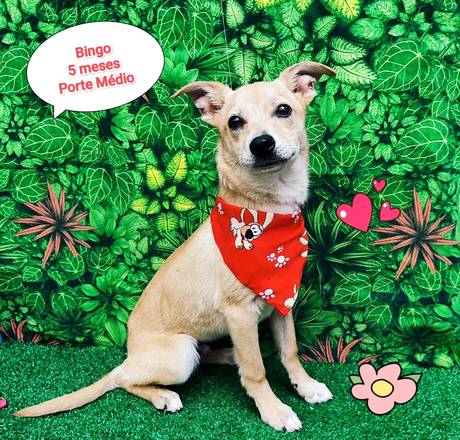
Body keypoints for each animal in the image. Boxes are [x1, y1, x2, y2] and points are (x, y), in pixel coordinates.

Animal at [15, 61, 335, 432]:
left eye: (283, 109)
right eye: (234, 122)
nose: (262, 144)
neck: (267, 211)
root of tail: (130, 355)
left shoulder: (282, 301)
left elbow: (290, 351)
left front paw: (306, 387)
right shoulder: (240, 314)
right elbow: (257, 370)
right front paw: (275, 410)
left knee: (204, 356)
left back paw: (227, 355)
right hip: (180, 352)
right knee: (125, 379)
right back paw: (164, 396)